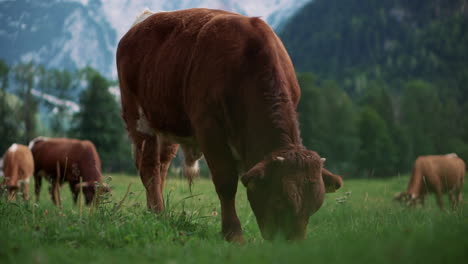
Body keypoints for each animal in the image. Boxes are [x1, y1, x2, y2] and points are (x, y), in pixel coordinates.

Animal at [117, 8, 336, 243]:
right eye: (279, 202)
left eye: (314, 207)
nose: (293, 246)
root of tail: (144, 21)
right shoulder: (209, 128)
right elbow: (226, 182)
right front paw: (233, 233)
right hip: (139, 118)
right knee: (149, 168)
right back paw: (158, 213)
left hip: (168, 125)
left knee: (161, 167)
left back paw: (157, 211)